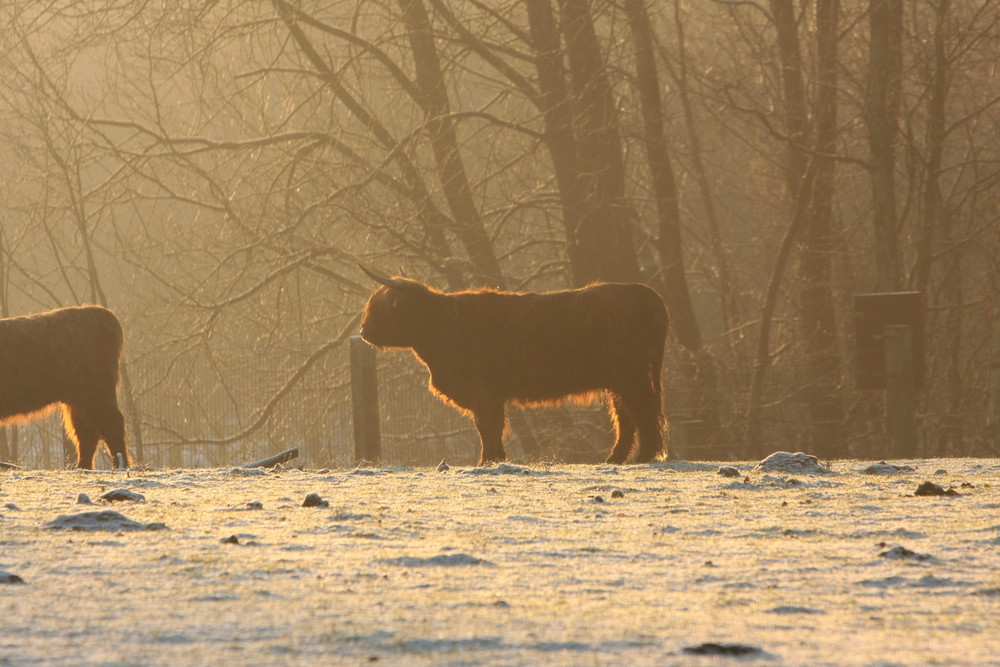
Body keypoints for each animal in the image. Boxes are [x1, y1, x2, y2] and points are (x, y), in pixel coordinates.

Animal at [0, 308, 129, 470]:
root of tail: (101, 313)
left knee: (111, 425)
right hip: (78, 401)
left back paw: (119, 465)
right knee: (86, 432)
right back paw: (83, 467)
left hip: (96, 394)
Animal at [362, 266, 672, 464]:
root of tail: (644, 293)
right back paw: (615, 458)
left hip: (631, 377)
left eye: (379, 307)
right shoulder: (488, 395)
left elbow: (487, 427)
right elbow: (490, 427)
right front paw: (494, 459)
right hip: (620, 381)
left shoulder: (483, 392)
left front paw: (487, 461)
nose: (364, 331)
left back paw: (644, 456)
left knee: (644, 412)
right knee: (627, 416)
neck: (442, 324)